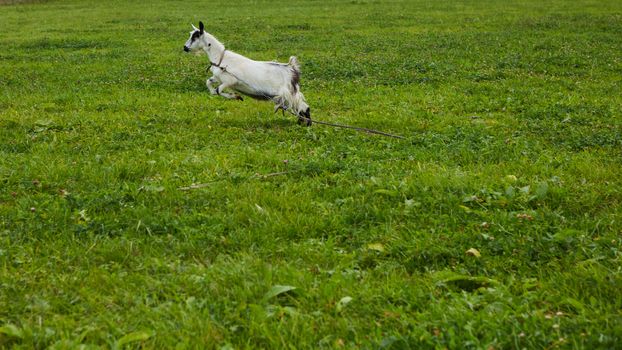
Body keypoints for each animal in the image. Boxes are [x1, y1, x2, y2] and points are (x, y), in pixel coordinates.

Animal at [184, 21, 312, 126]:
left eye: (195, 37)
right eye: (191, 34)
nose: (185, 47)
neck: (220, 58)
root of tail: (291, 68)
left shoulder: (230, 81)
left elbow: (218, 90)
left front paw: (236, 96)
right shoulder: (217, 78)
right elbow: (210, 85)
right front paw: (236, 96)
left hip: (288, 93)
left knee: (303, 106)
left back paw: (307, 124)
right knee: (301, 107)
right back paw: (301, 123)